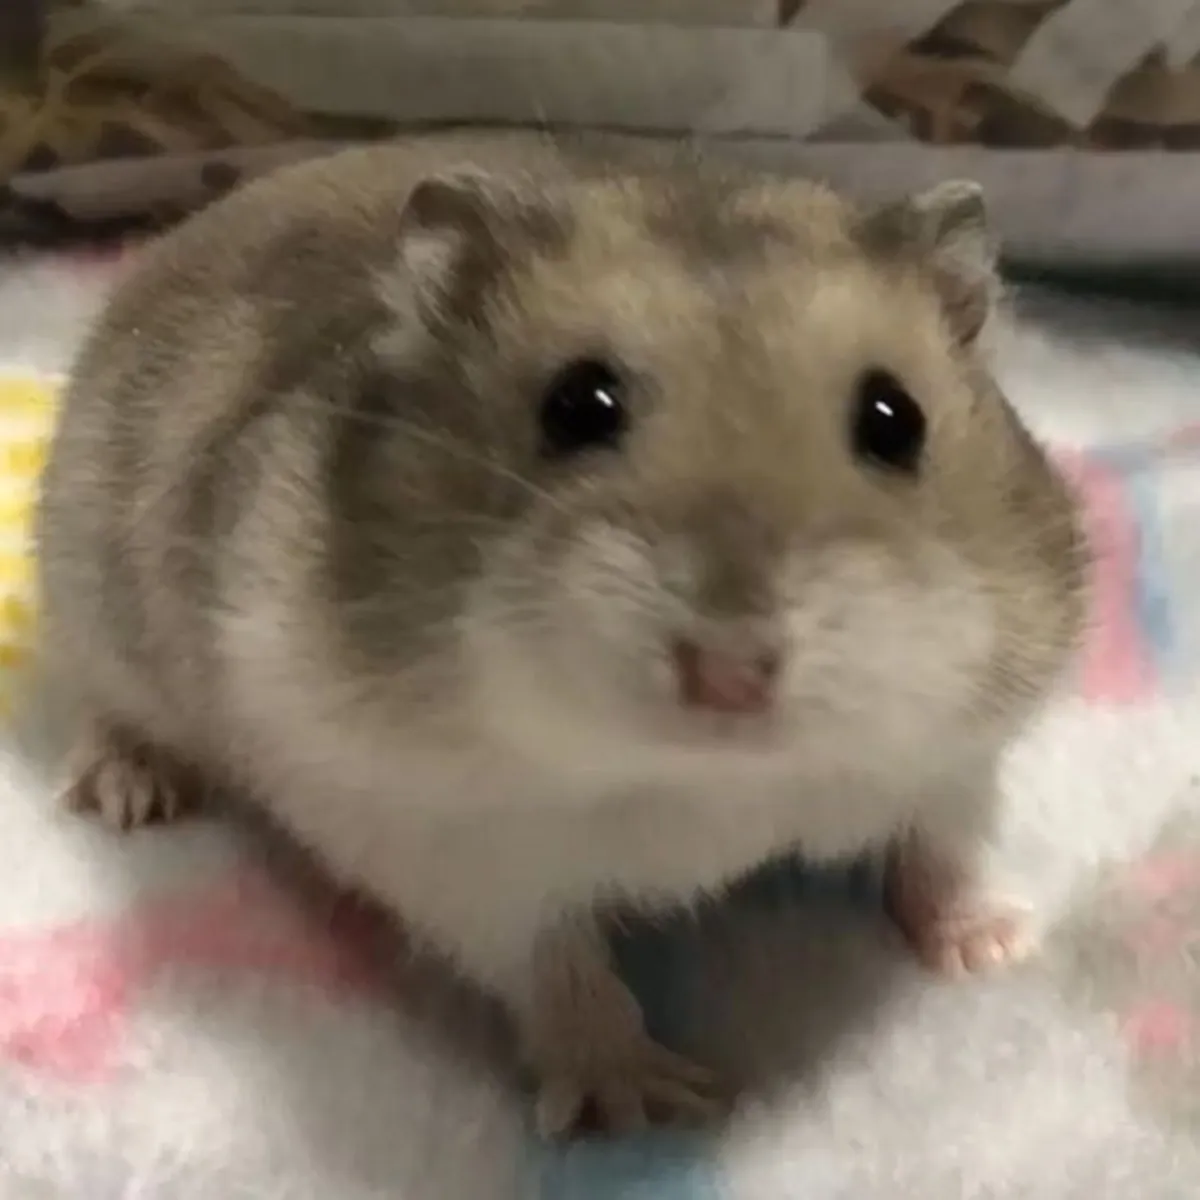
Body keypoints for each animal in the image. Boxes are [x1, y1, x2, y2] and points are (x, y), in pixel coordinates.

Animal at [34, 134, 1087, 1137]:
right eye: (578, 405)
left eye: (894, 419)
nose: (730, 674)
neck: (711, 780)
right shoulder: (450, 843)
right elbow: (557, 968)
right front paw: (641, 1106)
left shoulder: (956, 755)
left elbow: (944, 850)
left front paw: (997, 950)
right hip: (89, 609)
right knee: (104, 710)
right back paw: (129, 794)